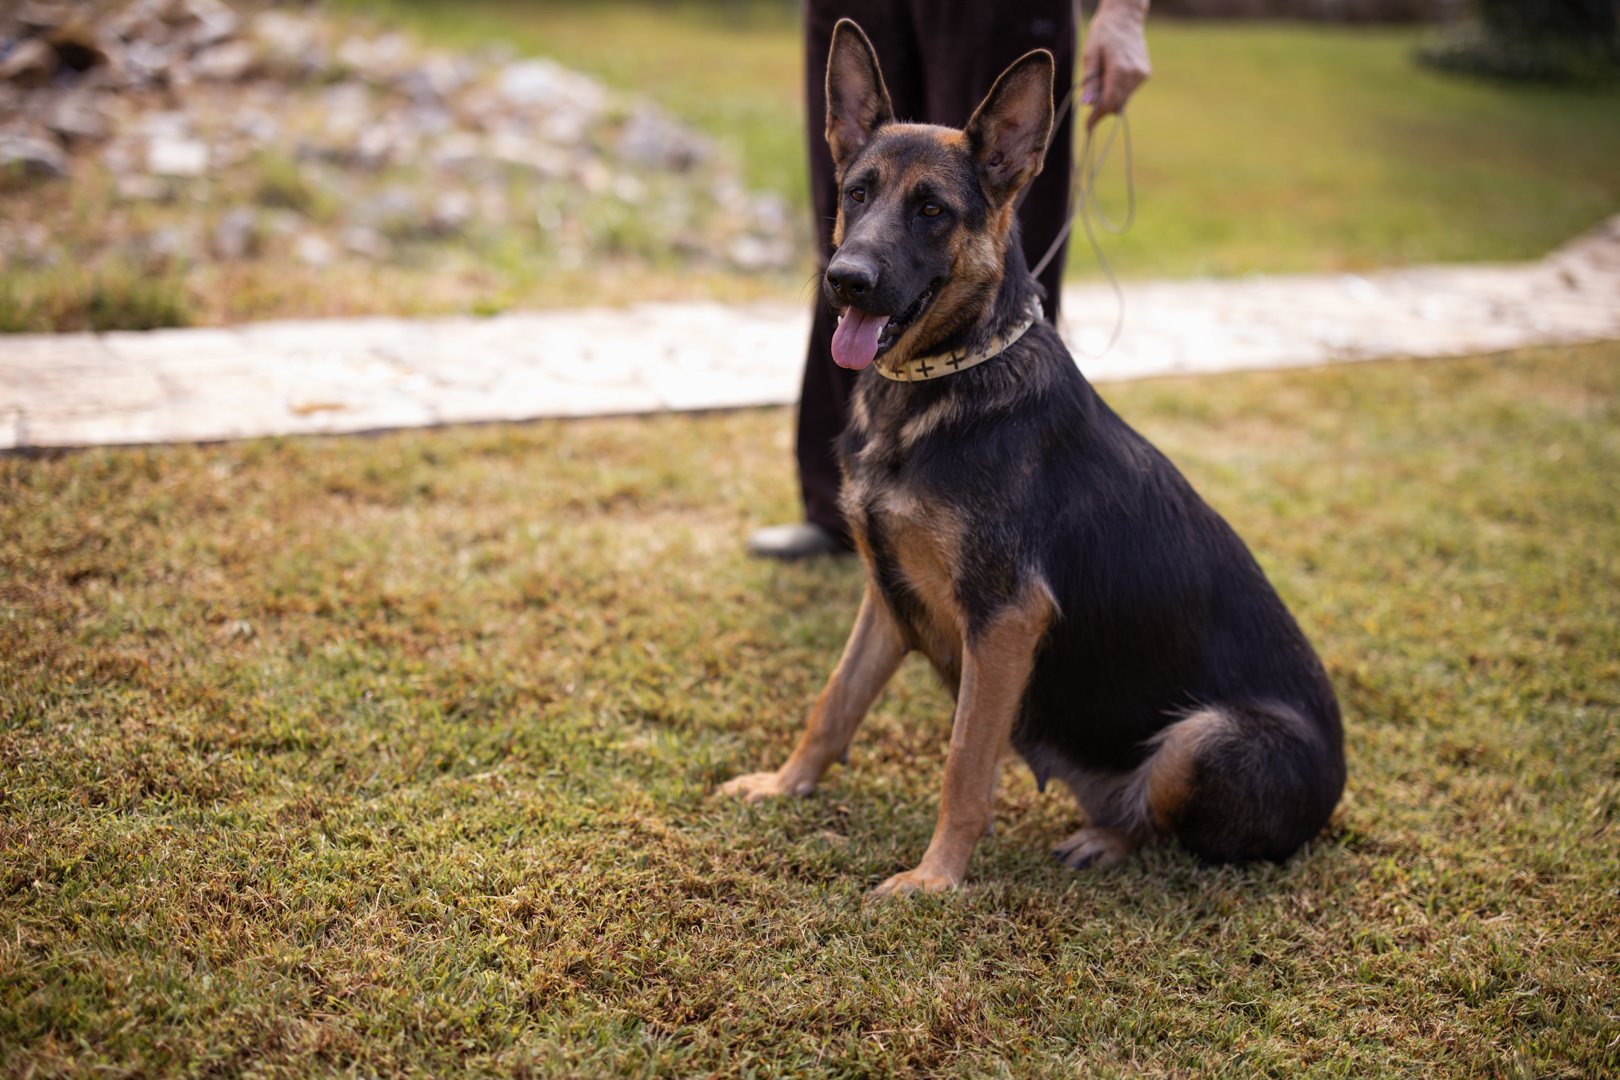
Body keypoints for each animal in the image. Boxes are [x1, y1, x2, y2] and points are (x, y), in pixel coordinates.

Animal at [720, 19, 1345, 897]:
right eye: (858, 194)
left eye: (932, 210)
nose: (845, 282)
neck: (941, 385)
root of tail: (1338, 795)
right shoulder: (885, 597)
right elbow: (834, 703)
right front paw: (786, 786)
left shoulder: (1005, 621)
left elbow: (963, 763)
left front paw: (935, 880)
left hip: (1202, 739)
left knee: (1158, 819)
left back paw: (1103, 840)